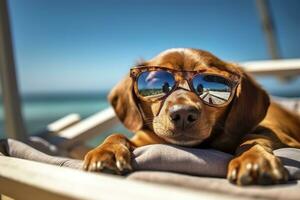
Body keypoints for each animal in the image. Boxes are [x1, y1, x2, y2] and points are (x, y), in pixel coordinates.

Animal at [82, 48, 300, 186]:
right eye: (158, 82)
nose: (183, 113)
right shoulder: (143, 139)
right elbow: (116, 136)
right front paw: (107, 151)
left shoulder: (281, 137)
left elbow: (251, 138)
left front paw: (253, 159)